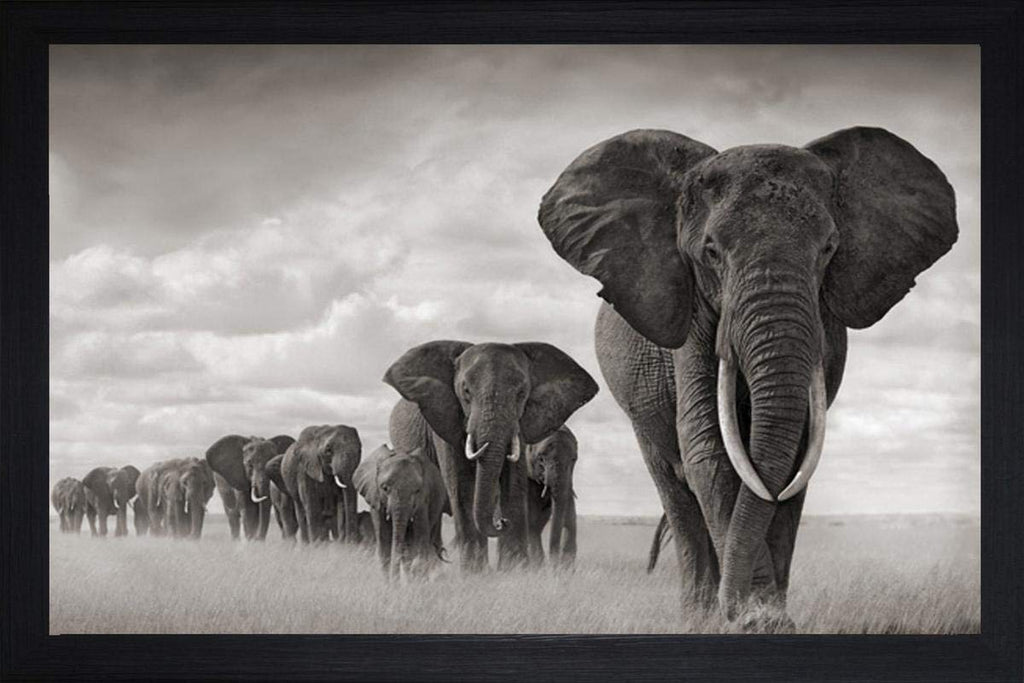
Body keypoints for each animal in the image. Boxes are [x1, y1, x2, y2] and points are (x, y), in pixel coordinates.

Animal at [353, 443, 449, 580]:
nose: (395, 582)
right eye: (385, 488)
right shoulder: (375, 498)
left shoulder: (423, 501)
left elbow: (419, 538)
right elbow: (384, 541)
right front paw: (389, 583)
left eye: (417, 490)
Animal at [524, 425, 579, 568]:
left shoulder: (568, 480)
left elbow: (570, 518)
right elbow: (531, 521)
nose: (554, 565)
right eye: (541, 459)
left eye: (574, 459)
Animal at [537, 127, 958, 627]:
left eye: (829, 249)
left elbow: (795, 456)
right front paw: (755, 619)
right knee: (676, 492)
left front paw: (769, 619)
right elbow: (710, 449)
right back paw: (698, 616)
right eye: (712, 252)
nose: (738, 610)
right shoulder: (693, 316)